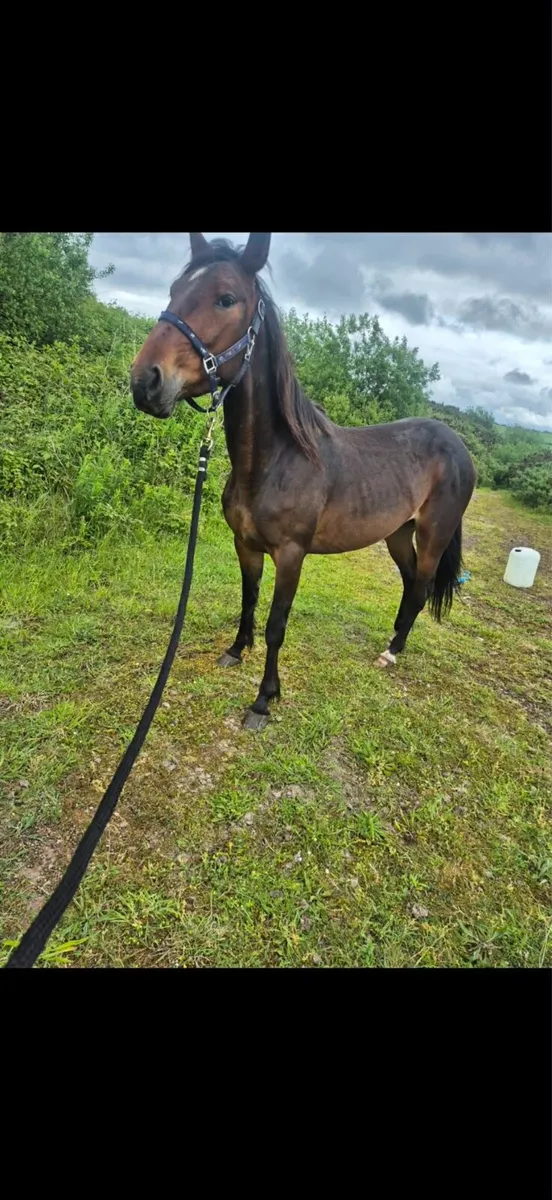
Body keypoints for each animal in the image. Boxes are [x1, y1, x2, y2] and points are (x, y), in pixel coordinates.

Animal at [130, 232, 476, 730]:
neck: (276, 461)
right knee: (411, 582)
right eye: (175, 290)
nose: (145, 381)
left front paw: (263, 700)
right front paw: (236, 651)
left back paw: (393, 652)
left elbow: (277, 624)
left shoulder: (292, 556)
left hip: (433, 534)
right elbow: (249, 598)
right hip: (397, 533)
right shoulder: (245, 545)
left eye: (226, 298)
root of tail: (459, 446)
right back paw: (393, 640)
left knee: (423, 586)